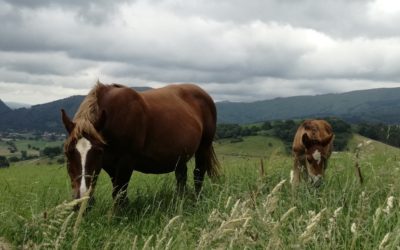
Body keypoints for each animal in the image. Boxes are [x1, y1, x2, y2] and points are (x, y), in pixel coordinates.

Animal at [61, 82, 220, 205]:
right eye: (67, 152)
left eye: (98, 151)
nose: (80, 200)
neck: (113, 116)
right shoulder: (109, 165)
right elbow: (117, 191)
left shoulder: (126, 161)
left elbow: (119, 192)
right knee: (181, 176)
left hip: (203, 148)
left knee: (198, 174)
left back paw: (196, 201)